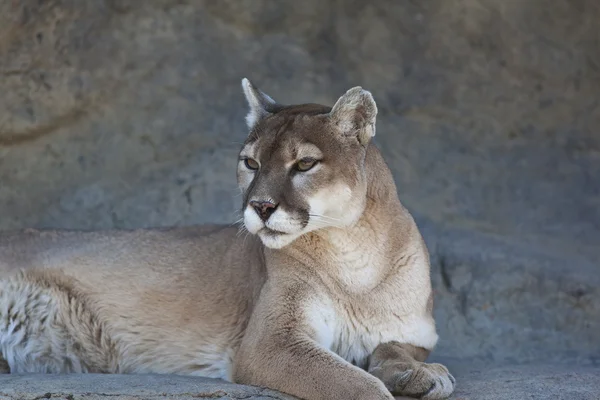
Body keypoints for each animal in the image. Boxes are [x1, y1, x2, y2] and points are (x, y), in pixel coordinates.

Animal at [0, 79, 454, 398]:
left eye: (305, 164)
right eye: (250, 163)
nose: (261, 206)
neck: (355, 254)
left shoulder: (415, 333)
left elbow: (390, 349)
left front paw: (421, 374)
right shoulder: (272, 342)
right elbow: (355, 384)